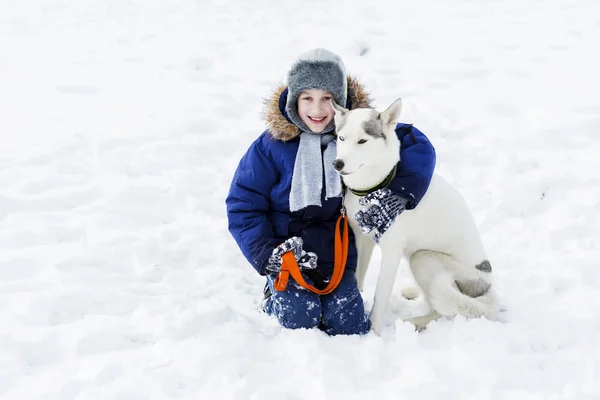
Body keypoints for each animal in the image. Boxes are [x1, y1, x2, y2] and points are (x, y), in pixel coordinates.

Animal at [330, 98, 500, 332]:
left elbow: (380, 297)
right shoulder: (363, 240)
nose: (338, 164)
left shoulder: (391, 252)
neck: (375, 188)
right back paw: (413, 292)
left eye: (362, 141)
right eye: (341, 138)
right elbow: (358, 277)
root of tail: (487, 286)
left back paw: (413, 323)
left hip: (422, 259)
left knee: (442, 309)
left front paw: (374, 332)